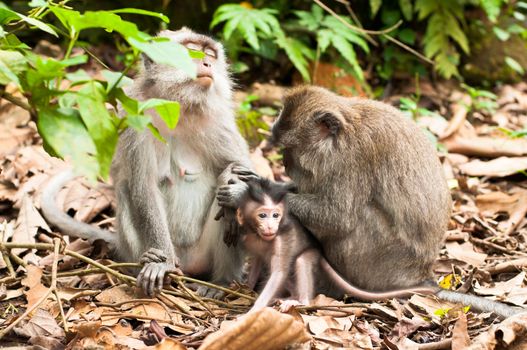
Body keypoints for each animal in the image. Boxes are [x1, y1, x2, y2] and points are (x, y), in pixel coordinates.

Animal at [42, 28, 253, 298]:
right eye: (192, 50)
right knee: (126, 190)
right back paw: (147, 262)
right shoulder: (135, 118)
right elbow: (144, 188)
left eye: (210, 54)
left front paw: (232, 181)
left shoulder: (219, 120)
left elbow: (244, 170)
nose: (206, 64)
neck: (179, 107)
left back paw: (222, 281)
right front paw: (162, 263)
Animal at [237, 179, 440, 314]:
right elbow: (257, 262)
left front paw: (253, 311)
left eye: (275, 215)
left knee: (301, 261)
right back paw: (288, 297)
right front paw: (245, 286)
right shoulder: (249, 238)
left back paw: (300, 301)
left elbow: (278, 273)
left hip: (312, 253)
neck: (261, 237)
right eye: (262, 215)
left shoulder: (282, 240)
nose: (271, 226)